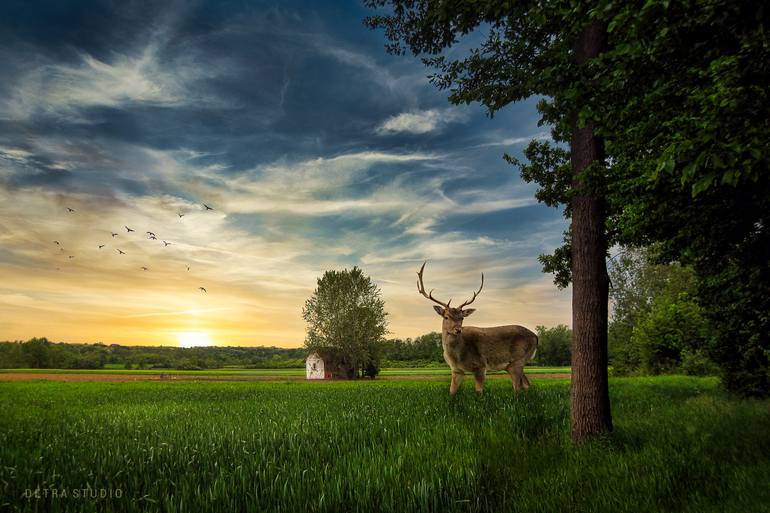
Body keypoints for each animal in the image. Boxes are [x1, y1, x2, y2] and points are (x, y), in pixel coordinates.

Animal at [416, 262, 536, 394]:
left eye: (462, 318)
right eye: (446, 317)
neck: (456, 356)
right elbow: (452, 391)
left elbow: (479, 391)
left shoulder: (480, 365)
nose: (458, 330)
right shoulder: (456, 370)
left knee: (518, 387)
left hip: (518, 360)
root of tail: (536, 337)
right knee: (526, 384)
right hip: (512, 365)